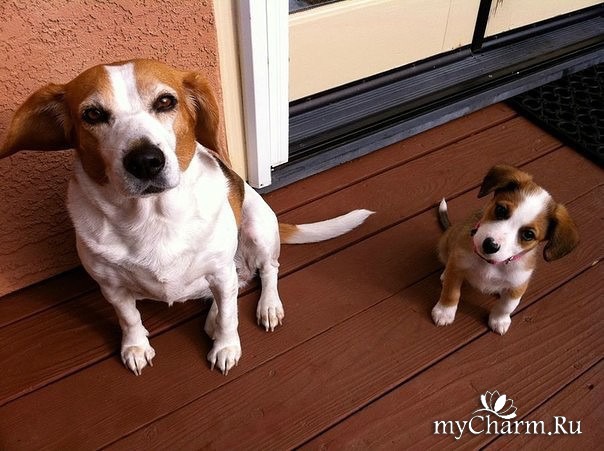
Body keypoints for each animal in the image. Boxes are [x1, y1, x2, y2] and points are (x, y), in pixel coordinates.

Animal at [1, 59, 373, 375]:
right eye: (92, 114)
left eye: (166, 102)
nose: (145, 161)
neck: (152, 217)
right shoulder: (110, 285)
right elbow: (128, 317)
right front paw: (135, 348)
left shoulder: (219, 269)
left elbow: (230, 318)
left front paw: (226, 347)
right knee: (234, 287)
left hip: (257, 227)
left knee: (266, 272)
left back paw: (266, 307)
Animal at [432, 164, 578, 335]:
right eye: (501, 209)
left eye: (528, 234)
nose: (490, 245)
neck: (489, 263)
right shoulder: (458, 266)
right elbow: (451, 293)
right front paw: (444, 312)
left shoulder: (518, 285)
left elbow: (506, 306)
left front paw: (499, 320)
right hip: (446, 246)